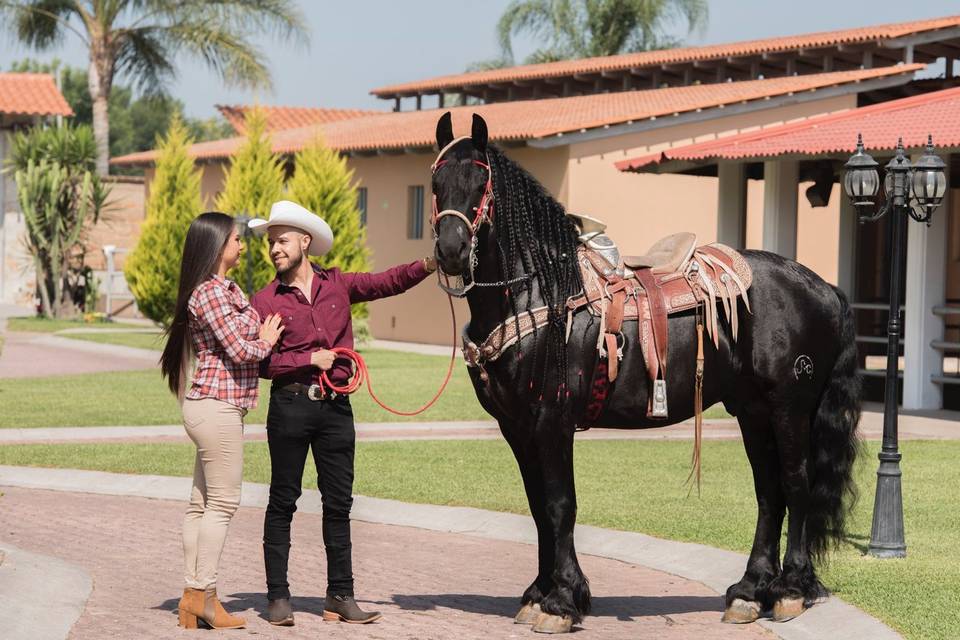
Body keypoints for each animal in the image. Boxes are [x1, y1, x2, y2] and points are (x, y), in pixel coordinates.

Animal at [432, 112, 860, 632]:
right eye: (436, 184)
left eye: (481, 185)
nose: (451, 249)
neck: (540, 292)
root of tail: (824, 288)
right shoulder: (516, 426)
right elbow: (537, 506)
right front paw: (539, 593)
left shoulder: (552, 421)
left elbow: (559, 505)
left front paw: (562, 601)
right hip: (753, 412)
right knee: (769, 491)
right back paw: (749, 591)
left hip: (789, 408)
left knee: (796, 484)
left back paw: (791, 590)